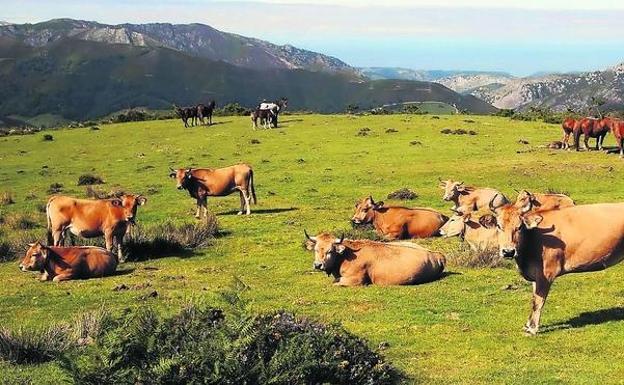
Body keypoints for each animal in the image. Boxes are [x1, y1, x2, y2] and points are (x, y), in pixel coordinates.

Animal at [492, 196, 624, 334]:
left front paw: (532, 328)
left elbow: (538, 301)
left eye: (519, 227)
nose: (508, 251)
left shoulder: (547, 273)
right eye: (498, 226)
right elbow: (534, 299)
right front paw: (528, 324)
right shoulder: (535, 275)